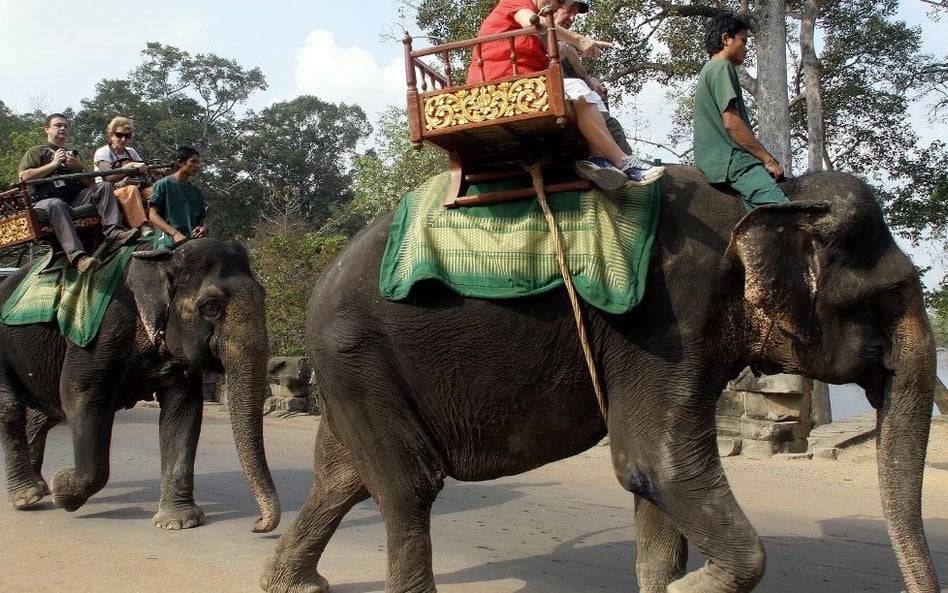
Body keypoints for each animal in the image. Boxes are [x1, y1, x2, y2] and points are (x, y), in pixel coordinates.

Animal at [0, 236, 282, 532]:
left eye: (263, 297)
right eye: (211, 306)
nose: (258, 524)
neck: (161, 259)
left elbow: (183, 409)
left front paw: (178, 522)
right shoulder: (99, 335)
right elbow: (80, 395)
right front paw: (62, 488)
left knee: (45, 412)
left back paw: (38, 489)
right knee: (13, 408)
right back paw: (27, 497)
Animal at [262, 165, 940, 592]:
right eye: (892, 293)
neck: (777, 192)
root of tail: (317, 288)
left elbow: (655, 481)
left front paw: (668, 585)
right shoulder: (667, 317)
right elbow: (655, 462)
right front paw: (686, 589)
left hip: (355, 367)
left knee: (344, 477)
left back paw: (295, 586)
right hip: (355, 352)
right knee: (408, 487)